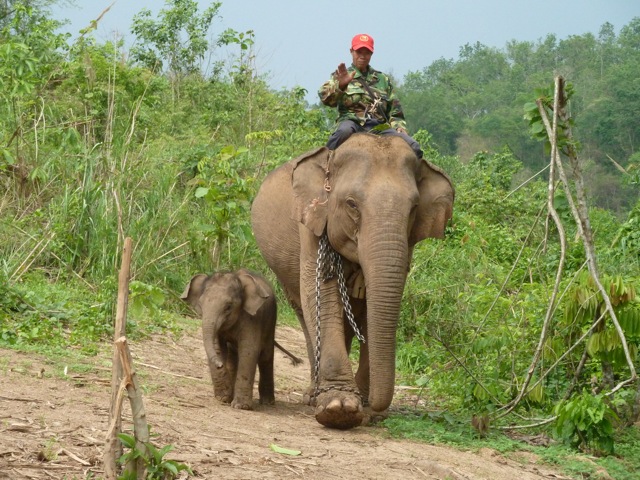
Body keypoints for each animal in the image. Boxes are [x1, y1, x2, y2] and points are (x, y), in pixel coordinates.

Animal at [182, 270, 278, 408]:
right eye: (201, 304)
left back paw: (267, 402)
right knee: (233, 358)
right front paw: (223, 398)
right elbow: (217, 347)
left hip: (270, 323)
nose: (220, 364)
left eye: (228, 307)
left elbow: (248, 351)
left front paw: (241, 406)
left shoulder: (253, 319)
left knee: (266, 356)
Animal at [250, 133, 456, 430]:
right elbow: (320, 293)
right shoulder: (311, 221)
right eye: (351, 204)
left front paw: (364, 406)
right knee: (305, 311)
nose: (375, 411)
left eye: (414, 208)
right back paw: (313, 396)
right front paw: (339, 408)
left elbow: (378, 303)